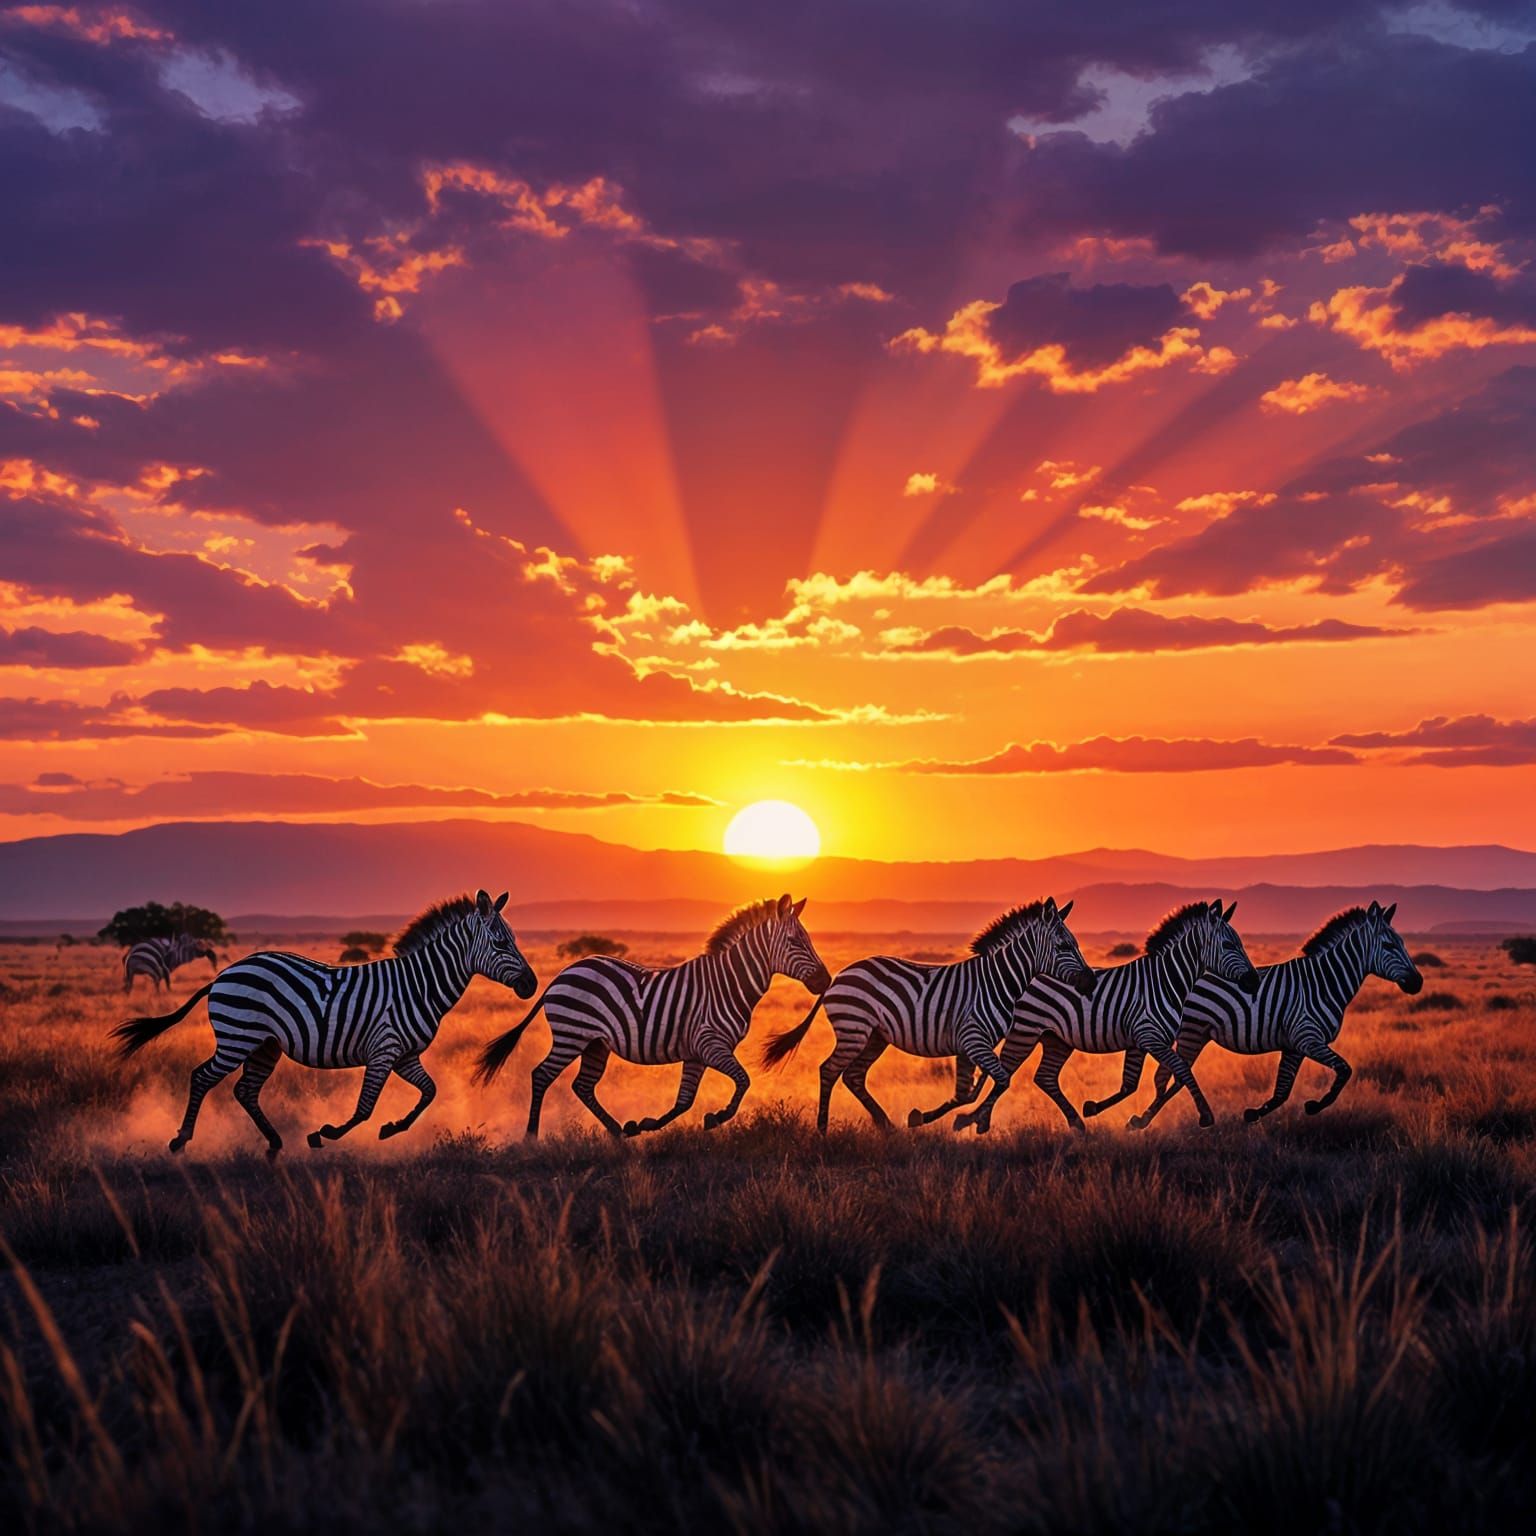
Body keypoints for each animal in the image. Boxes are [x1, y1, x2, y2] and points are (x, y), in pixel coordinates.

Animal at [110, 890, 535, 1157]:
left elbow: (429, 1093)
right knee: (202, 1077)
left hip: (265, 1045)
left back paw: (274, 1143)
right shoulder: (384, 1050)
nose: (532, 985)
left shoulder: (405, 1055)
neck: (420, 985)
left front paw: (392, 1129)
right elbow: (364, 1108)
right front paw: (323, 1134)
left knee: (246, 1091)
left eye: (514, 940)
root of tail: (224, 973)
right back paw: (181, 1140)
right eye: (500, 944)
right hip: (237, 1037)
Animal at [474, 893, 830, 1138]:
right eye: (795, 941)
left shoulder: (696, 1052)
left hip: (595, 1044)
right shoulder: (711, 1044)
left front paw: (645, 1124)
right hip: (571, 1034)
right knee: (542, 1075)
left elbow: (685, 1099)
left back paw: (618, 1131)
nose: (825, 981)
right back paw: (531, 1136)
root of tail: (563, 973)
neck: (728, 984)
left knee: (583, 1086)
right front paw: (716, 1117)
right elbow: (743, 1080)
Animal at [760, 898, 1096, 1134]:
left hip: (875, 1037)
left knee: (853, 1076)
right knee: (829, 1070)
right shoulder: (973, 1039)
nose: (1091, 982)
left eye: (1076, 944)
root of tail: (839, 975)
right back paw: (822, 1129)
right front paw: (971, 1121)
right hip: (854, 1029)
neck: (997, 981)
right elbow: (999, 1080)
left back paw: (887, 1126)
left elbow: (967, 1091)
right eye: (1063, 946)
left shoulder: (971, 1045)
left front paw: (925, 1117)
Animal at [951, 900, 1258, 1135]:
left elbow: (1131, 1084)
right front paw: (1205, 1116)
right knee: (1004, 1071)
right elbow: (1181, 1070)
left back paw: (1075, 1123)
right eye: (1229, 945)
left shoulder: (1139, 1041)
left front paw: (1101, 1111)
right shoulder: (1150, 1035)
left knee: (1043, 1077)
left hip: (1057, 1038)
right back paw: (976, 1120)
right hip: (1025, 1030)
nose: (1254, 982)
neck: (1165, 980)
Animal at [1129, 901, 1423, 1130]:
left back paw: (1144, 1119)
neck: (1323, 982)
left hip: (1194, 1034)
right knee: (1170, 1076)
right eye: (1389, 945)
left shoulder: (1294, 1045)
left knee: (1171, 1076)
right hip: (1192, 1031)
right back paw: (1144, 1119)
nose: (1417, 983)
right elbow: (1344, 1070)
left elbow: (1283, 1090)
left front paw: (1252, 1114)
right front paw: (1315, 1106)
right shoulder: (1307, 1038)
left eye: (1402, 943)